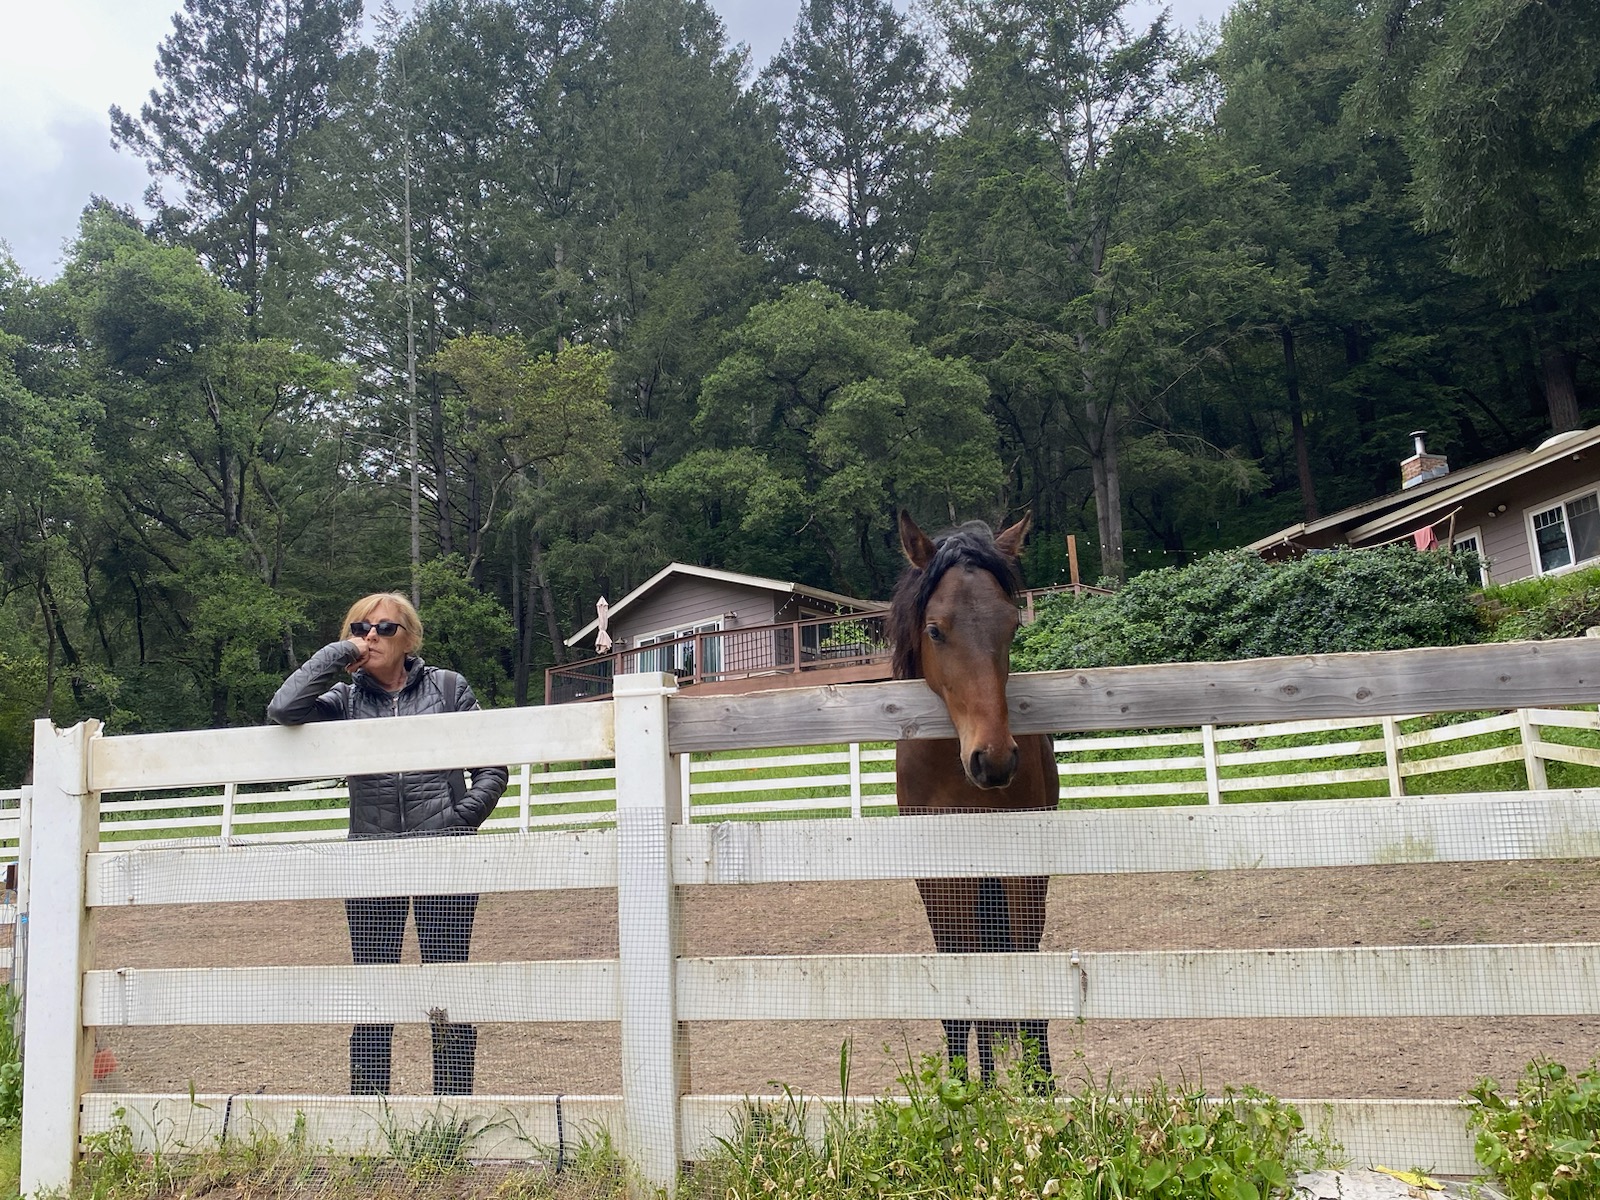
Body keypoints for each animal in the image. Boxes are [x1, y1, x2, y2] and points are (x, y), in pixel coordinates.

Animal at [889, 512, 1062, 1088]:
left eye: (1011, 626)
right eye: (935, 629)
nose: (995, 759)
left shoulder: (1022, 872)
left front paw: (1040, 1091)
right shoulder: (939, 880)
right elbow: (961, 998)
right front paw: (966, 1094)